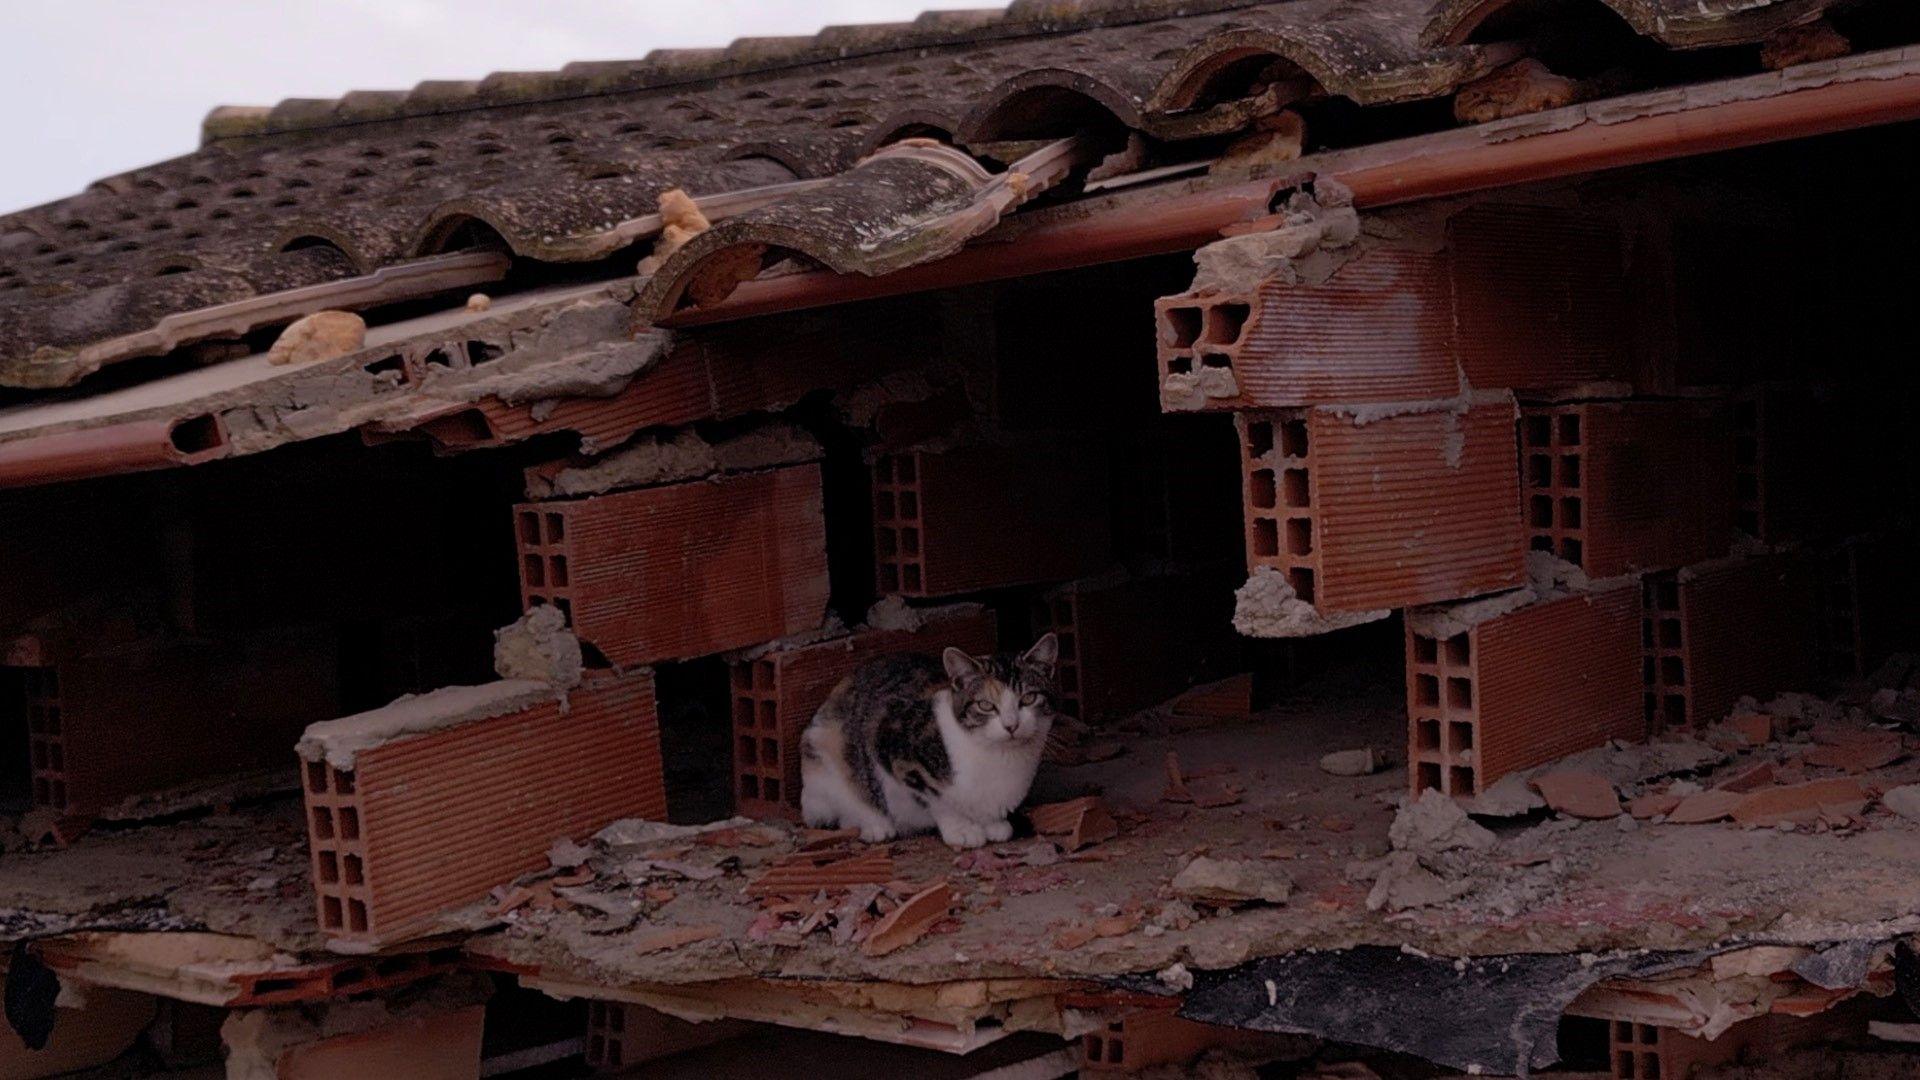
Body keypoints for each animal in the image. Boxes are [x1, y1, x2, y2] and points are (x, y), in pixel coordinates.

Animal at [798, 630, 1067, 849]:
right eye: (985, 705)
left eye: (1029, 698)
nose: (1011, 725)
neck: (999, 758)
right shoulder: (890, 741)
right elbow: (936, 798)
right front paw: (961, 829)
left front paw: (993, 823)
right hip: (823, 753)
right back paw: (876, 825)